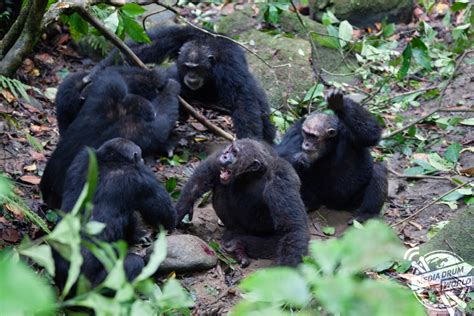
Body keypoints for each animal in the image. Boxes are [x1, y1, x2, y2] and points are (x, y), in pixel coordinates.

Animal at [40, 67, 180, 210]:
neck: (123, 111)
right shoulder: (144, 129)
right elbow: (163, 122)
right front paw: (170, 86)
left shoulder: (109, 88)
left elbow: (111, 76)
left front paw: (156, 77)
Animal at [53, 137, 176, 290]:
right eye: (140, 155)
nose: (143, 160)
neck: (111, 160)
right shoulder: (142, 178)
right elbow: (165, 215)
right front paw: (139, 234)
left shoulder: (82, 157)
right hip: (97, 285)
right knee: (134, 264)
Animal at [91, 24, 276, 143]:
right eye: (187, 66)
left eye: (198, 68)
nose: (192, 76)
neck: (208, 44)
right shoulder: (183, 35)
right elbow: (149, 45)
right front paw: (97, 70)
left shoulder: (230, 64)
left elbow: (241, 97)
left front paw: (251, 141)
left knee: (257, 97)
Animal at [176, 139, 310, 266]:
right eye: (229, 150)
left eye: (235, 153)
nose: (225, 156)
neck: (251, 175)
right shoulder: (218, 156)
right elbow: (202, 176)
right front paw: (182, 210)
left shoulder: (282, 180)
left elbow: (292, 228)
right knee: (221, 189)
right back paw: (233, 234)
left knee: (274, 242)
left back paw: (240, 245)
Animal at [276, 89, 386, 222]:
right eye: (306, 133)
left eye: (313, 136)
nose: (306, 143)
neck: (329, 145)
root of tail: (333, 205)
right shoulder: (295, 131)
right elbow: (281, 154)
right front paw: (301, 158)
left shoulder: (348, 132)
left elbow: (371, 133)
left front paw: (340, 105)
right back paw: (307, 205)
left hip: (353, 202)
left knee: (378, 170)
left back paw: (366, 214)